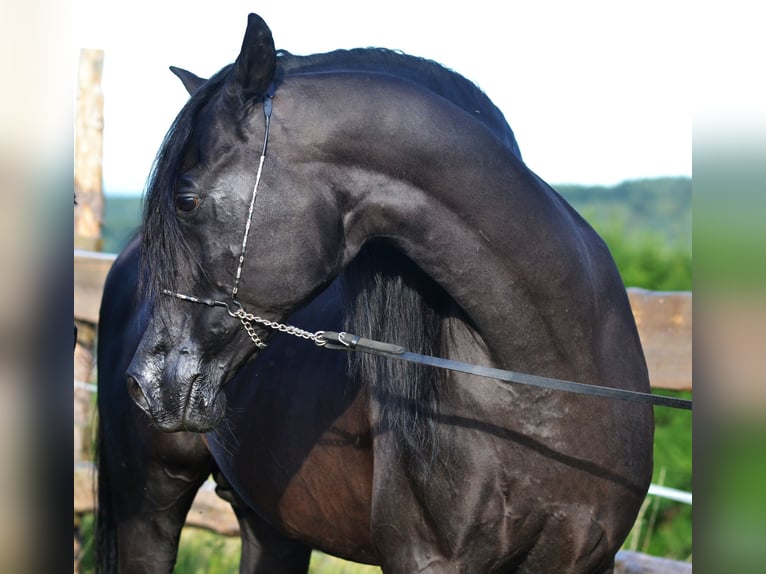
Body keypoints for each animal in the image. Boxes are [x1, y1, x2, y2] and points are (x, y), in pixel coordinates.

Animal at [96, 12, 653, 573]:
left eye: (185, 200)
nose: (147, 384)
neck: (541, 382)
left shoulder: (586, 559)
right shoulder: (426, 559)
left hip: (270, 522)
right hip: (150, 503)